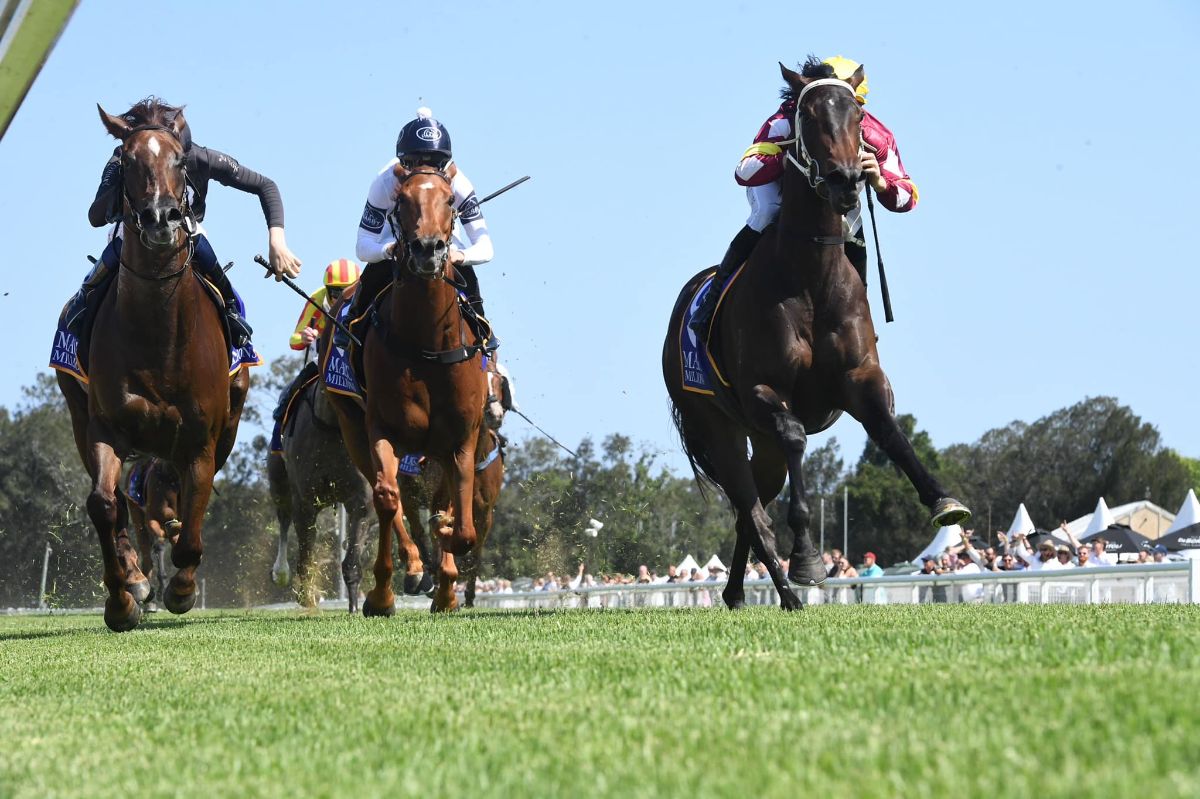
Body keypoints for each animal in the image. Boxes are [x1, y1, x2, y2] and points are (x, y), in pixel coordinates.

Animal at [57, 103, 250, 631]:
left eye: (181, 161)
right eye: (125, 158)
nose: (161, 216)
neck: (159, 334)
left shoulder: (202, 439)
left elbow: (192, 513)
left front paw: (181, 589)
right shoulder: (104, 426)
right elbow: (105, 504)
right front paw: (123, 597)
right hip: (78, 413)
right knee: (119, 506)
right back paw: (136, 580)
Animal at [324, 163, 488, 614]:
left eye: (449, 200)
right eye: (401, 201)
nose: (427, 249)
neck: (427, 344)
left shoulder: (461, 437)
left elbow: (457, 522)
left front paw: (447, 580)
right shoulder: (382, 428)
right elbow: (387, 498)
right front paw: (383, 593)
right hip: (352, 429)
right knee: (390, 497)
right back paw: (413, 567)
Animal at [662, 61, 970, 611]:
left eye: (859, 115)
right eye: (806, 116)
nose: (846, 179)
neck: (813, 279)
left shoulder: (860, 376)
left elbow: (891, 432)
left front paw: (944, 500)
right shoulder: (764, 390)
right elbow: (796, 437)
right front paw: (806, 558)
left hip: (757, 444)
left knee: (750, 512)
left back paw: (739, 593)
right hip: (718, 426)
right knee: (752, 511)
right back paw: (786, 591)